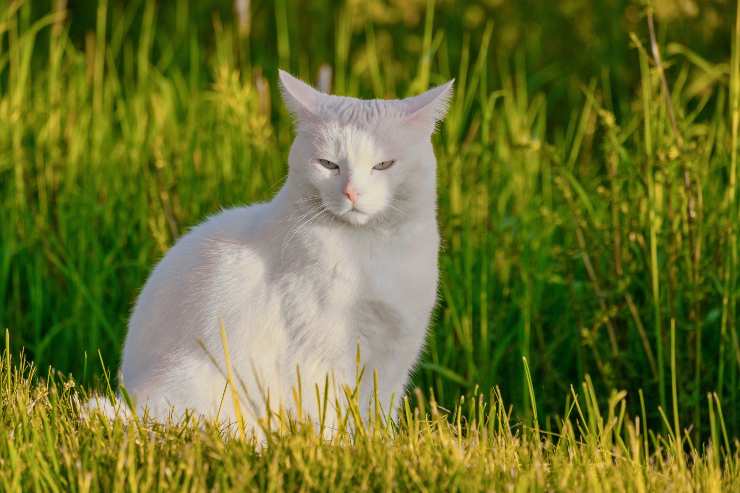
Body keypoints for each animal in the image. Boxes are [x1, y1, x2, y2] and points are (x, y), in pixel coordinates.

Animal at [108, 69, 450, 430]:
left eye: (383, 165)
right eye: (328, 164)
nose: (352, 192)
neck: (367, 254)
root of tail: (132, 400)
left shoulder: (392, 359)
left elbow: (376, 416)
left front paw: (372, 442)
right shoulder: (319, 359)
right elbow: (329, 418)